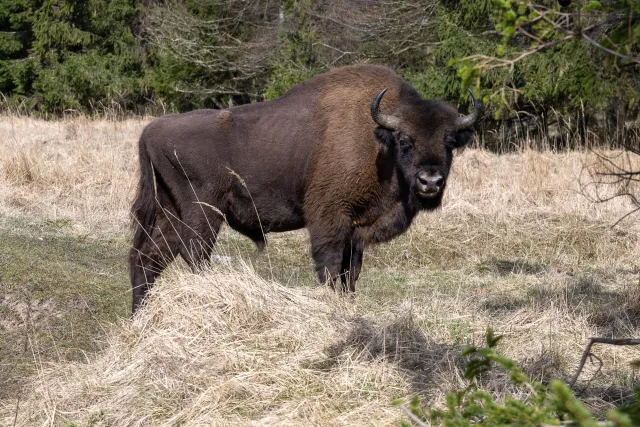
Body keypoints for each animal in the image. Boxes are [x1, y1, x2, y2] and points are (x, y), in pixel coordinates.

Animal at [130, 66, 480, 314]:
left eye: (450, 142)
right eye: (405, 140)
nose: (430, 181)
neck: (378, 143)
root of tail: (149, 132)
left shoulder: (356, 230)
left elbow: (351, 272)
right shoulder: (330, 218)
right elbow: (329, 266)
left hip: (170, 211)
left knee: (147, 258)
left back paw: (140, 318)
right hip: (202, 212)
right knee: (194, 253)